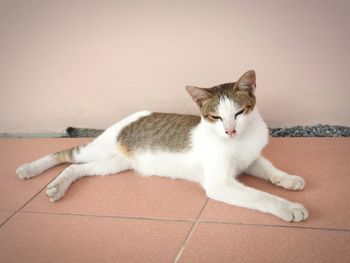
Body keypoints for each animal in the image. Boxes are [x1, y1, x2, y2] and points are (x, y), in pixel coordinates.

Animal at [16, 70, 308, 223]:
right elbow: (261, 197)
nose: (230, 130)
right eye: (216, 117)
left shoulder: (251, 158)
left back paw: (58, 185)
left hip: (114, 164)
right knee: (67, 154)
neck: (240, 141)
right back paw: (30, 169)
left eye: (238, 113)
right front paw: (289, 207)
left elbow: (269, 169)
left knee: (77, 168)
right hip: (99, 148)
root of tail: (130, 117)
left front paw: (288, 179)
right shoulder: (220, 183)